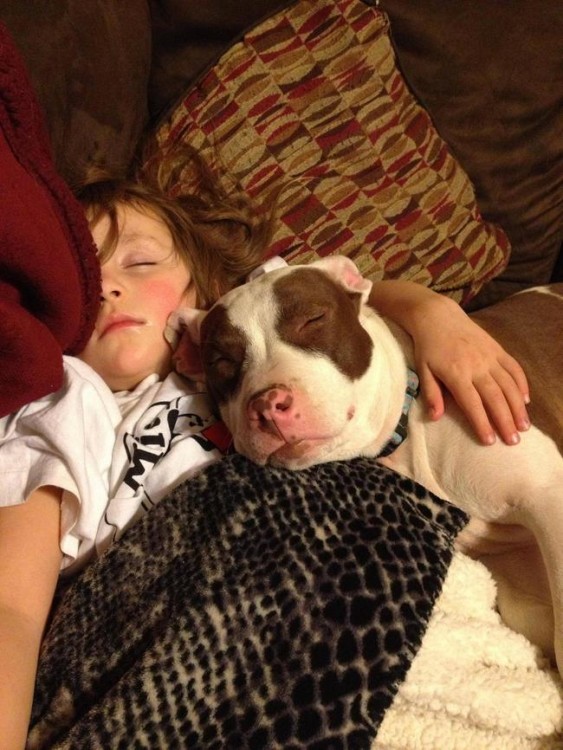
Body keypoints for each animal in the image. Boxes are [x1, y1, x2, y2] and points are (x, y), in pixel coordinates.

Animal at [176, 256, 563, 680]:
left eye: (313, 319)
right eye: (221, 362)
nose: (266, 405)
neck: (408, 429)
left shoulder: (547, 493)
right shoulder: (516, 569)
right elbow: (538, 619)